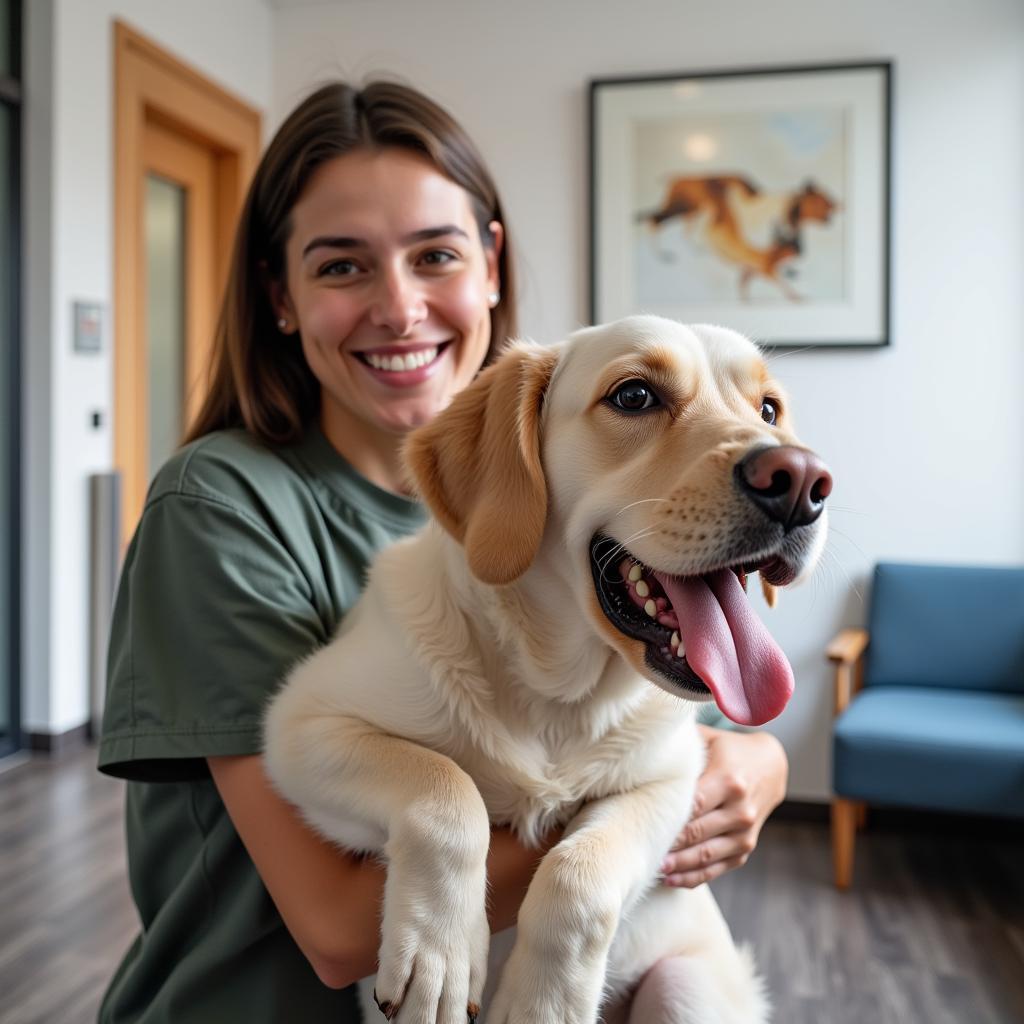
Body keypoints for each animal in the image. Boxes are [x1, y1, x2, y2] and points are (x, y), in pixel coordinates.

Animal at [264, 315, 831, 1019]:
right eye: (634, 396)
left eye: (769, 409)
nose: (803, 480)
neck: (555, 689)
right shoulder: (300, 725)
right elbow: (445, 791)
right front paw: (439, 959)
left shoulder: (671, 781)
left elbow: (579, 873)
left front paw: (544, 1002)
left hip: (686, 989)